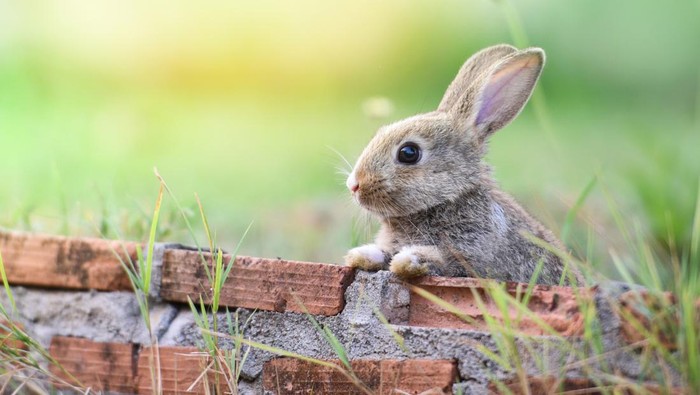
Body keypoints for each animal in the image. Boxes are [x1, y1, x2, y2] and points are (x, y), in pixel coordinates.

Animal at [344, 44, 580, 284]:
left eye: (408, 153)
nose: (353, 185)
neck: (449, 199)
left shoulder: (472, 255)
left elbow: (440, 260)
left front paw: (408, 260)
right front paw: (362, 255)